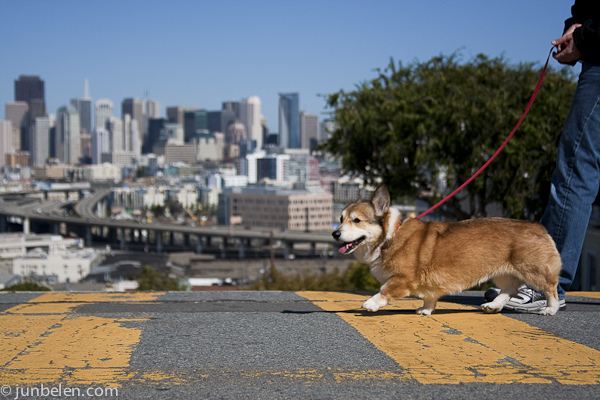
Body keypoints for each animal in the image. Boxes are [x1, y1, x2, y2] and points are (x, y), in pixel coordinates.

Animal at [332, 184, 564, 316]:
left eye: (356, 220)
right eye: (341, 219)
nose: (334, 234)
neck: (389, 236)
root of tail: (539, 227)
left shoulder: (403, 279)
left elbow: (384, 290)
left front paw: (370, 304)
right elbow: (429, 297)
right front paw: (425, 310)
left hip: (533, 270)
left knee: (550, 287)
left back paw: (549, 309)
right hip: (503, 272)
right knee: (511, 289)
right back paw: (493, 306)